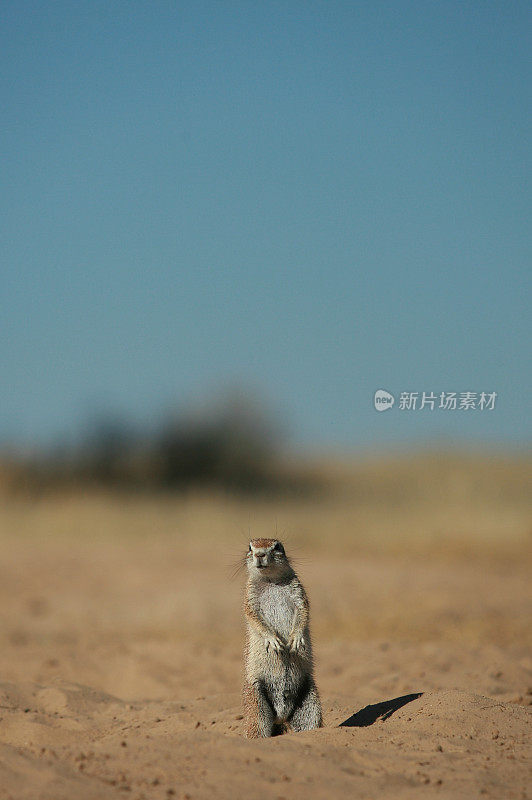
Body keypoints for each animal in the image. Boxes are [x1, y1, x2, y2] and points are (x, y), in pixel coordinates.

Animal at [242, 536, 324, 736]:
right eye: (250, 547)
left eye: (277, 546)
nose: (259, 554)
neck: (270, 580)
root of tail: (280, 715)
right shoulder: (249, 600)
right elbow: (255, 619)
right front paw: (273, 641)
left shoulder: (299, 593)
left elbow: (303, 612)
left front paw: (296, 640)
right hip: (256, 704)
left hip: (310, 702)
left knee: (308, 723)